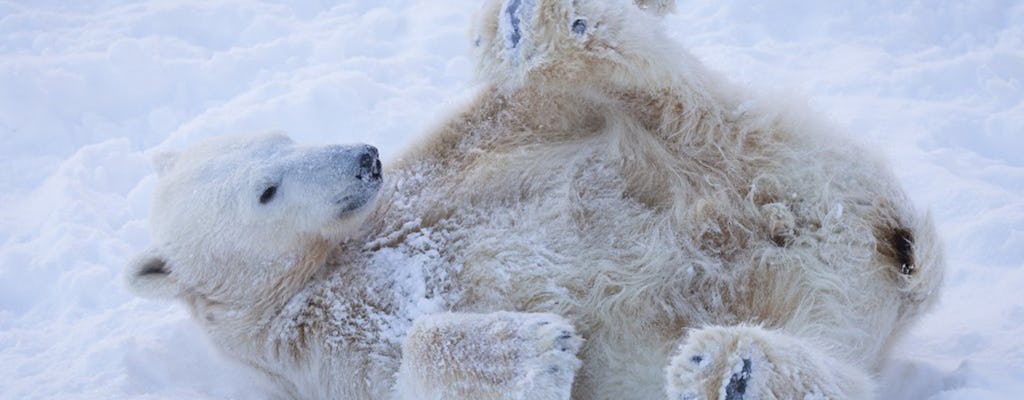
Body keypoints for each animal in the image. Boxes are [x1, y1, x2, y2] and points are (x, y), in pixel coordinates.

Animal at [125, 0, 942, 400]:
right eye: (267, 190)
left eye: (282, 137)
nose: (365, 158)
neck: (327, 261)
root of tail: (887, 253)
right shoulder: (314, 344)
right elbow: (403, 368)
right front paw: (534, 350)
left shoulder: (442, 162)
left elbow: (515, 113)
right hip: (811, 265)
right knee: (830, 366)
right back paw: (731, 369)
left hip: (765, 157)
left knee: (651, 91)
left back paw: (539, 22)